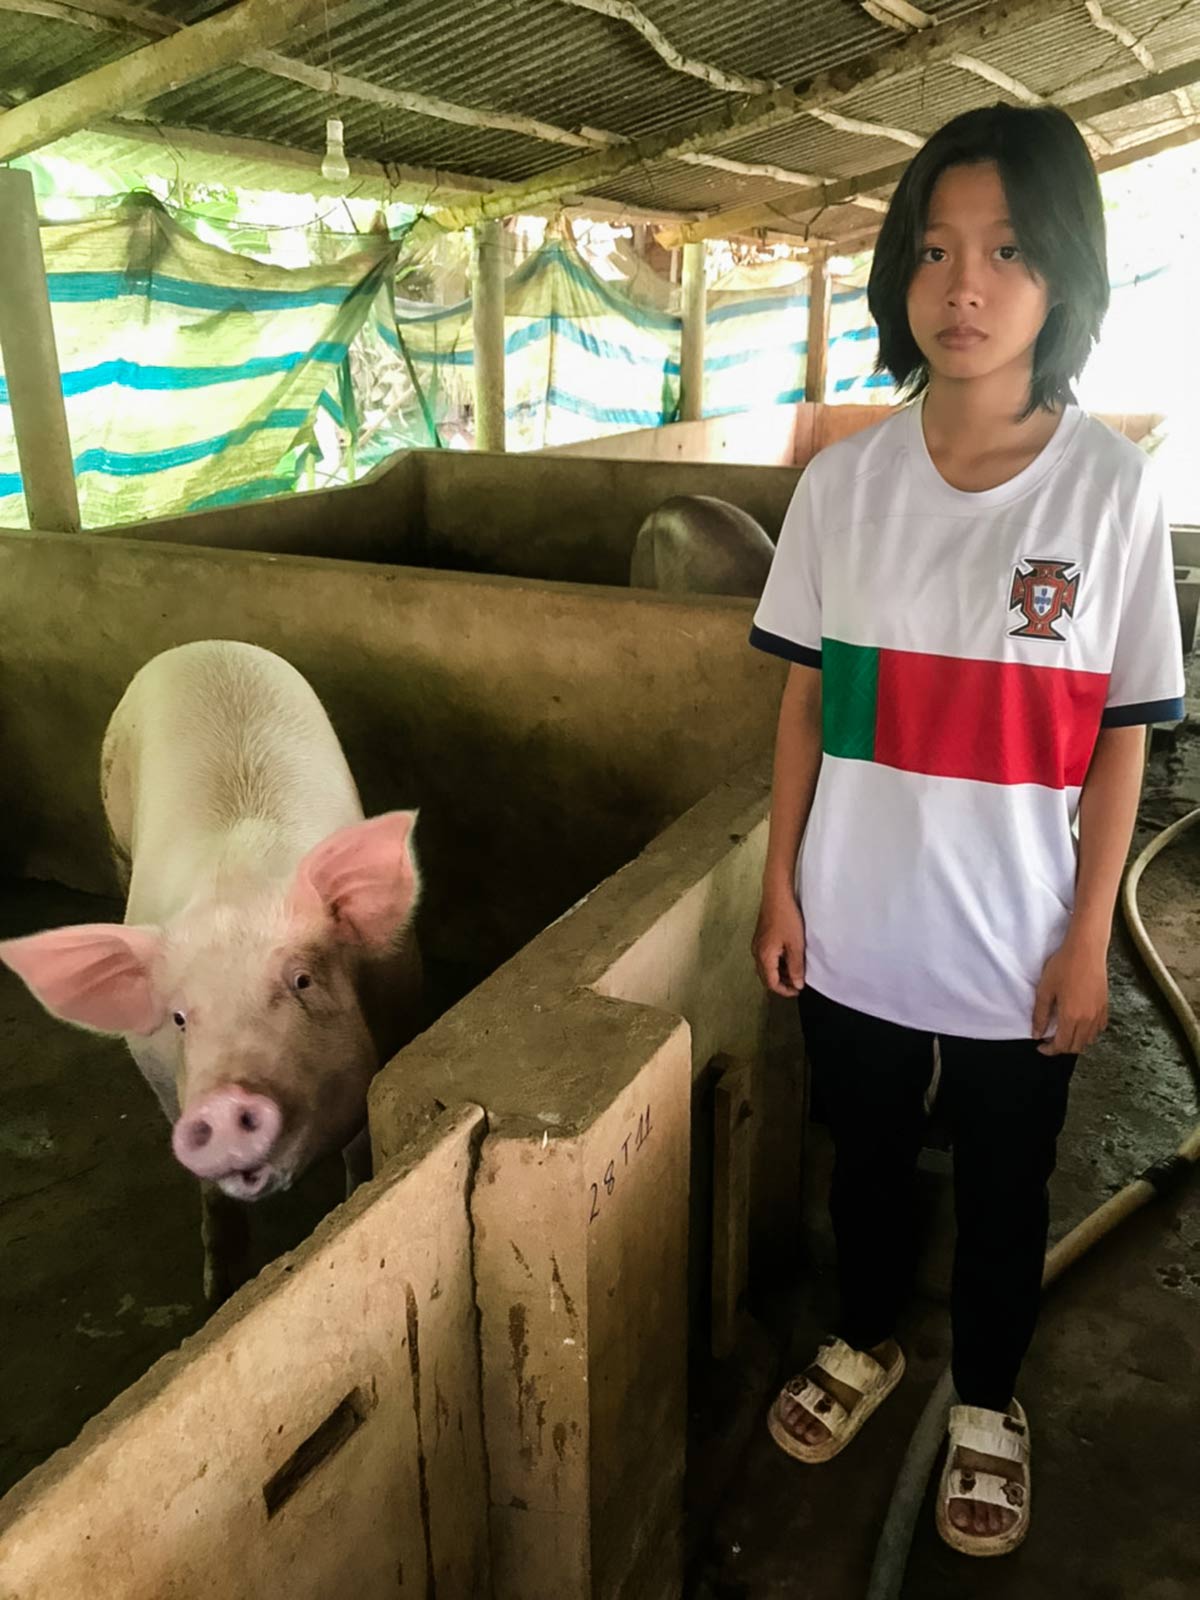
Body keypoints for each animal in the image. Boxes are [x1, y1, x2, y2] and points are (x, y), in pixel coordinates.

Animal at [0, 640, 421, 1302]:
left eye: (302, 981)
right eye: (179, 1017)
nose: (224, 1100)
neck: (236, 887)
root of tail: (198, 647)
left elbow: (362, 1146)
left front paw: (354, 1201)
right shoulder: (160, 1081)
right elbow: (209, 1192)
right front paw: (217, 1292)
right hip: (114, 819)